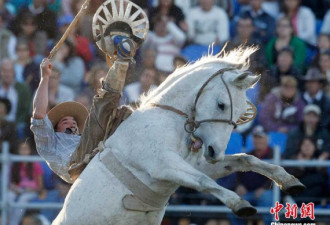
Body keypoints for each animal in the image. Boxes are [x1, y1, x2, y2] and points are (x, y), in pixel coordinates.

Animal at [53, 46, 304, 224]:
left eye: (242, 113)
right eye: (221, 104)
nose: (215, 152)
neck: (166, 120)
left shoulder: (197, 164)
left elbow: (245, 159)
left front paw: (289, 180)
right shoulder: (163, 165)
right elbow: (203, 181)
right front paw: (239, 204)